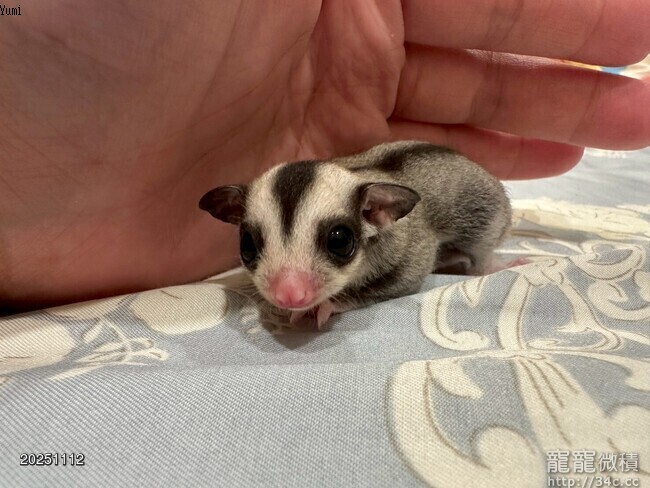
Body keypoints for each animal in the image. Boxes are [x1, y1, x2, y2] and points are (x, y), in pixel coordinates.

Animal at [199, 141, 517, 328]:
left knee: (482, 249)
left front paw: (328, 305)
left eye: (339, 241)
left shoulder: (409, 247)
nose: (288, 294)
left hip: (486, 211)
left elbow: (406, 278)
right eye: (247, 246)